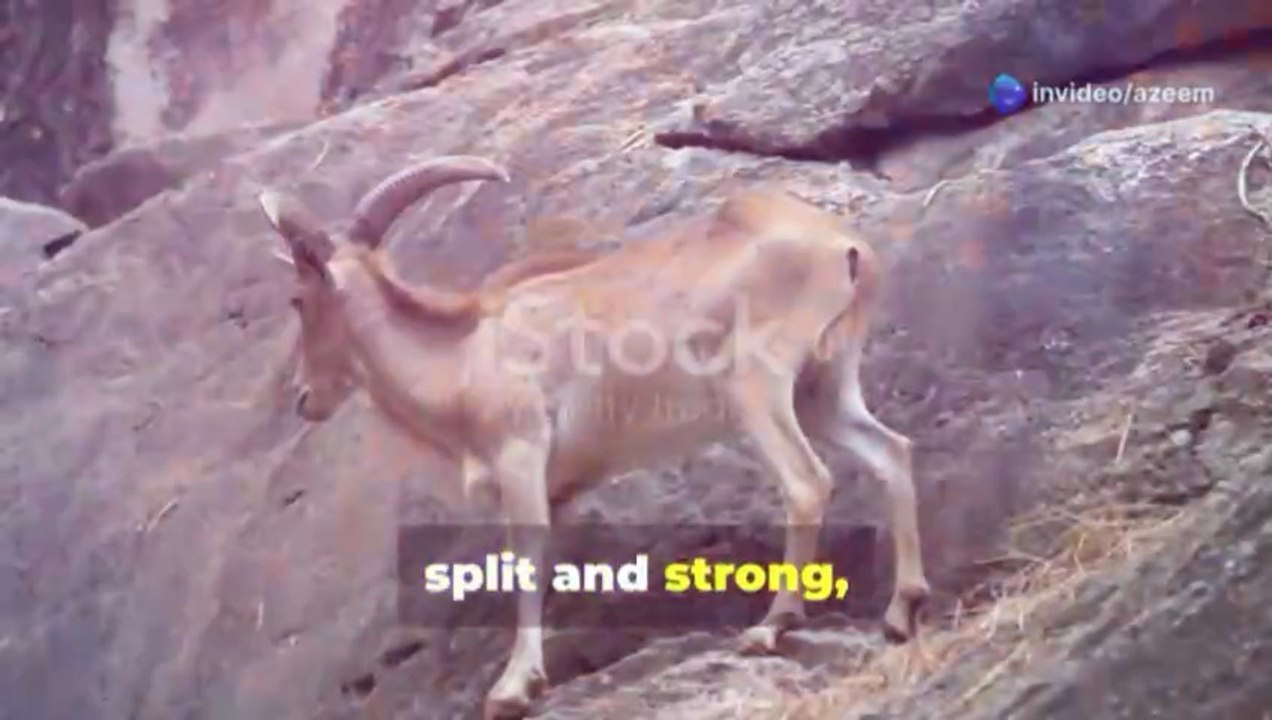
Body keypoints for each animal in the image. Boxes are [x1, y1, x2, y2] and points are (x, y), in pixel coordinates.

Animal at [258, 156, 930, 719]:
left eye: (296, 299)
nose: (304, 397)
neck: (464, 356)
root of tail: (843, 247)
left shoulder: (521, 455)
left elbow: (524, 558)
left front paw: (513, 686)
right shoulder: (561, 485)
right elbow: (549, 569)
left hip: (756, 388)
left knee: (808, 480)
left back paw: (773, 625)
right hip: (823, 390)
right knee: (892, 452)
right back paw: (902, 611)